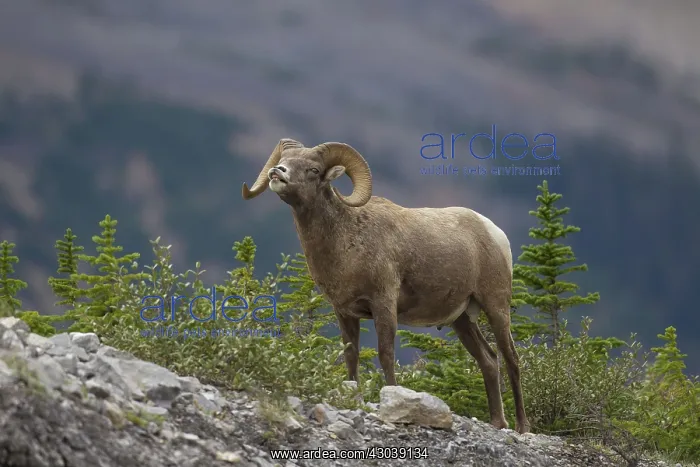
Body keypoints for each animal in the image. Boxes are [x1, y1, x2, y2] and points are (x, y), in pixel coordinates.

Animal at [242, 138, 531, 434]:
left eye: (313, 169)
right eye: (284, 160)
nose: (278, 172)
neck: (346, 240)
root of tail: (495, 233)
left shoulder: (383, 304)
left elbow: (386, 354)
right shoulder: (345, 313)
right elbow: (351, 356)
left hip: (496, 307)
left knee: (511, 359)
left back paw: (522, 427)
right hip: (462, 321)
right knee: (489, 360)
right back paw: (497, 422)